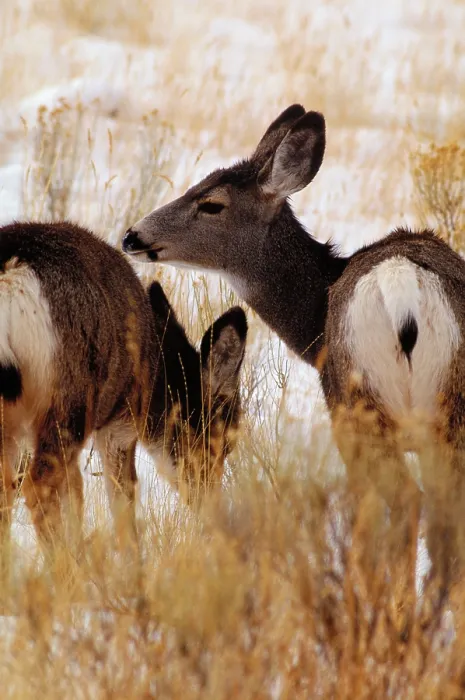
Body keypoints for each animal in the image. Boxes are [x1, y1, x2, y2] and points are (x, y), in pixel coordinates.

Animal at [0, 221, 247, 559]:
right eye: (223, 442)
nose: (212, 507)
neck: (154, 366)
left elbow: (75, 499)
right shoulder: (120, 423)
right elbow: (123, 507)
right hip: (69, 401)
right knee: (39, 484)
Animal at [122, 104, 465, 583]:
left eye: (212, 204)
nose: (132, 236)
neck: (316, 317)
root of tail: (404, 288)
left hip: (360, 410)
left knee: (404, 502)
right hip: (448, 409)